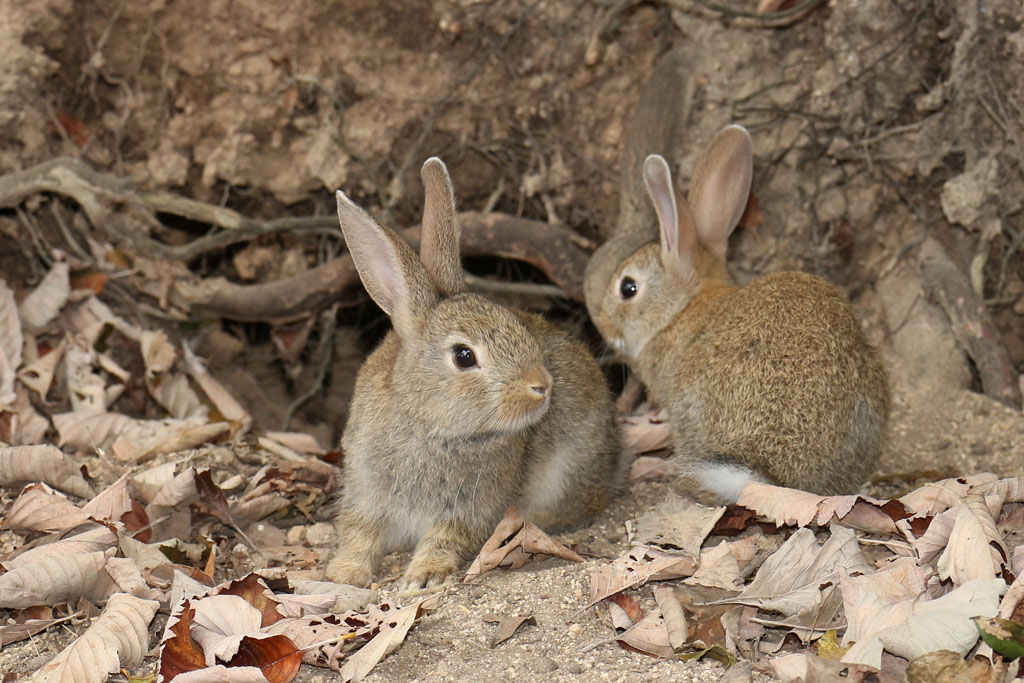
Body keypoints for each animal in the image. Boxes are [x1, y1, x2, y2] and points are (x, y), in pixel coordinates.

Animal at [325, 158, 625, 590]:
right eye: (464, 356)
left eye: (515, 323)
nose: (542, 386)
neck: (429, 422)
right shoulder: (366, 492)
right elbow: (359, 533)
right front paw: (344, 574)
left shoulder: (470, 508)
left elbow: (446, 537)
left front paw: (425, 575)